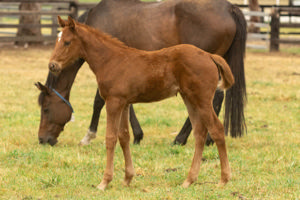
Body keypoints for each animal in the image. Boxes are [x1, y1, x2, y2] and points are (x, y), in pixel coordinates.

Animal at [48, 16, 234, 190]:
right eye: (57, 41)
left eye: (67, 42)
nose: (52, 65)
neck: (110, 60)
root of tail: (209, 55)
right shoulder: (124, 103)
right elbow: (124, 137)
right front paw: (127, 178)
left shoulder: (113, 102)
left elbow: (110, 138)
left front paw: (104, 182)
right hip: (189, 99)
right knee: (199, 133)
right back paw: (189, 180)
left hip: (202, 100)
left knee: (217, 129)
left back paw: (224, 179)